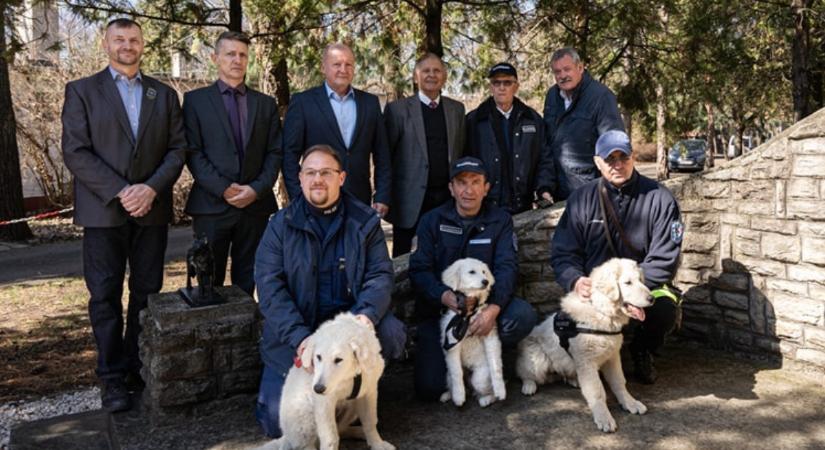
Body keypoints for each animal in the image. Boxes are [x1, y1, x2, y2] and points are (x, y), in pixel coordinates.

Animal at [260, 312, 396, 450]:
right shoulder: (324, 402)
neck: (349, 375)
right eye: (318, 357)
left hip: (351, 406)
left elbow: (370, 421)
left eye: (338, 359)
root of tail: (286, 437)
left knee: (341, 430)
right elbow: (330, 437)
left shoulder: (369, 391)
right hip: (304, 414)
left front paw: (377, 443)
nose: (318, 389)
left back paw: (359, 431)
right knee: (305, 444)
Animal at [438, 256, 502, 408]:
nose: (486, 281)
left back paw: (487, 399)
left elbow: (495, 365)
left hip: (480, 377)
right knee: (455, 381)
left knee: (481, 389)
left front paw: (501, 391)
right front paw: (458, 396)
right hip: (447, 375)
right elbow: (456, 373)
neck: (469, 312)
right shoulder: (451, 344)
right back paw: (448, 394)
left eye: (484, 272)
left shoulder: (489, 334)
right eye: (472, 272)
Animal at [520, 256, 652, 432]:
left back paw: (573, 380)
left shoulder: (612, 357)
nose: (652, 299)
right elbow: (597, 391)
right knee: (525, 373)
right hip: (537, 357)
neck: (601, 311)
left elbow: (619, 381)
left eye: (640, 280)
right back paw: (529, 386)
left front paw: (630, 403)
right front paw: (604, 417)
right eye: (628, 283)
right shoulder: (587, 362)